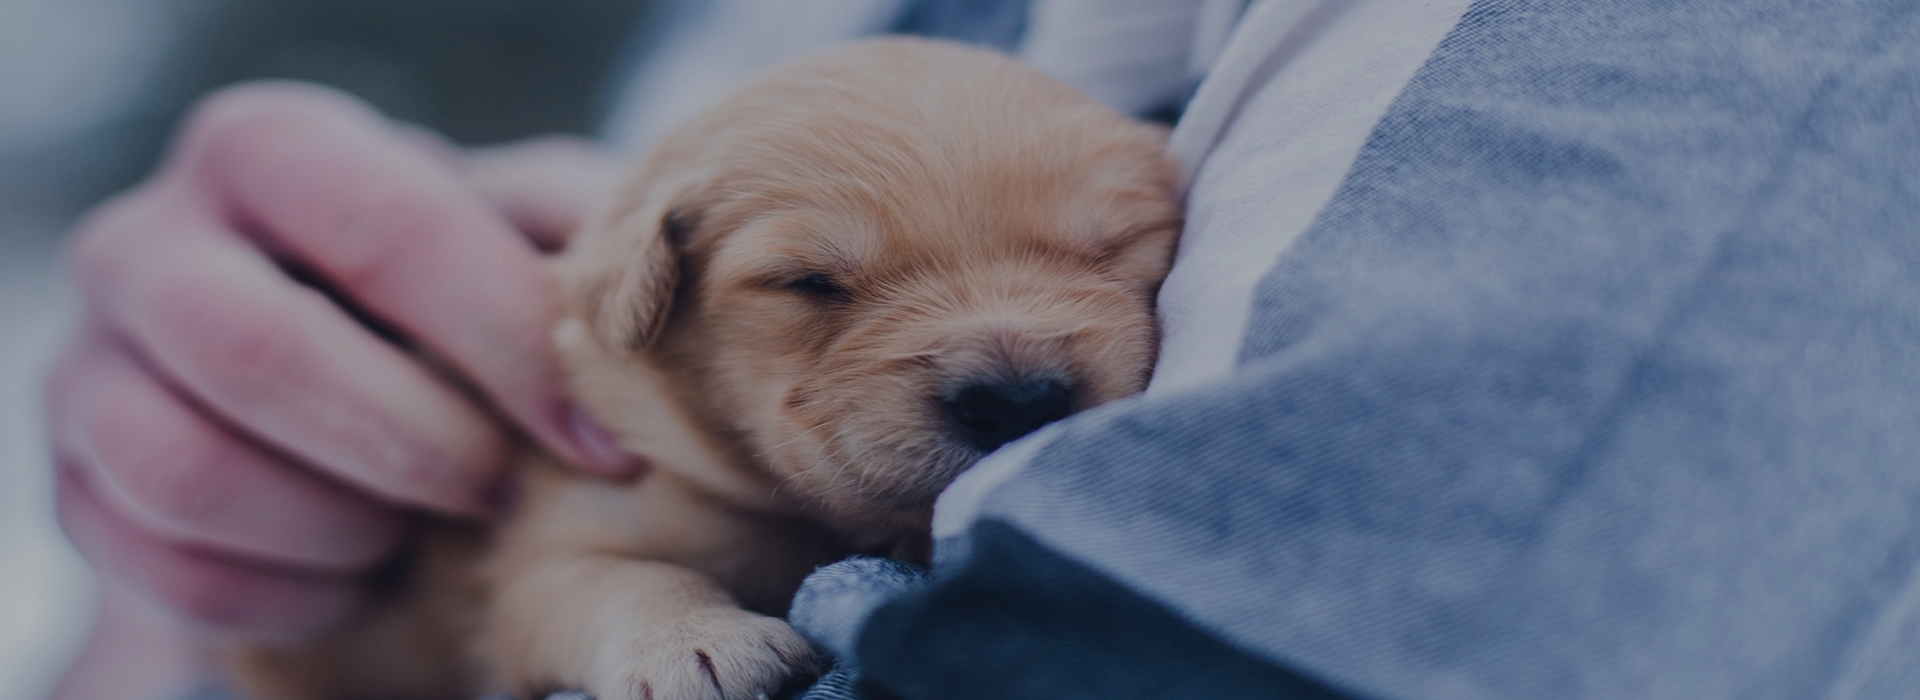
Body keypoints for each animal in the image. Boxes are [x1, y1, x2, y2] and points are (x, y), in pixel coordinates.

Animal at [226, 38, 1182, 698]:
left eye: (1113, 247)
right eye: (810, 282)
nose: (1017, 400)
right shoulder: (552, 537)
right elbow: (611, 577)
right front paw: (694, 643)